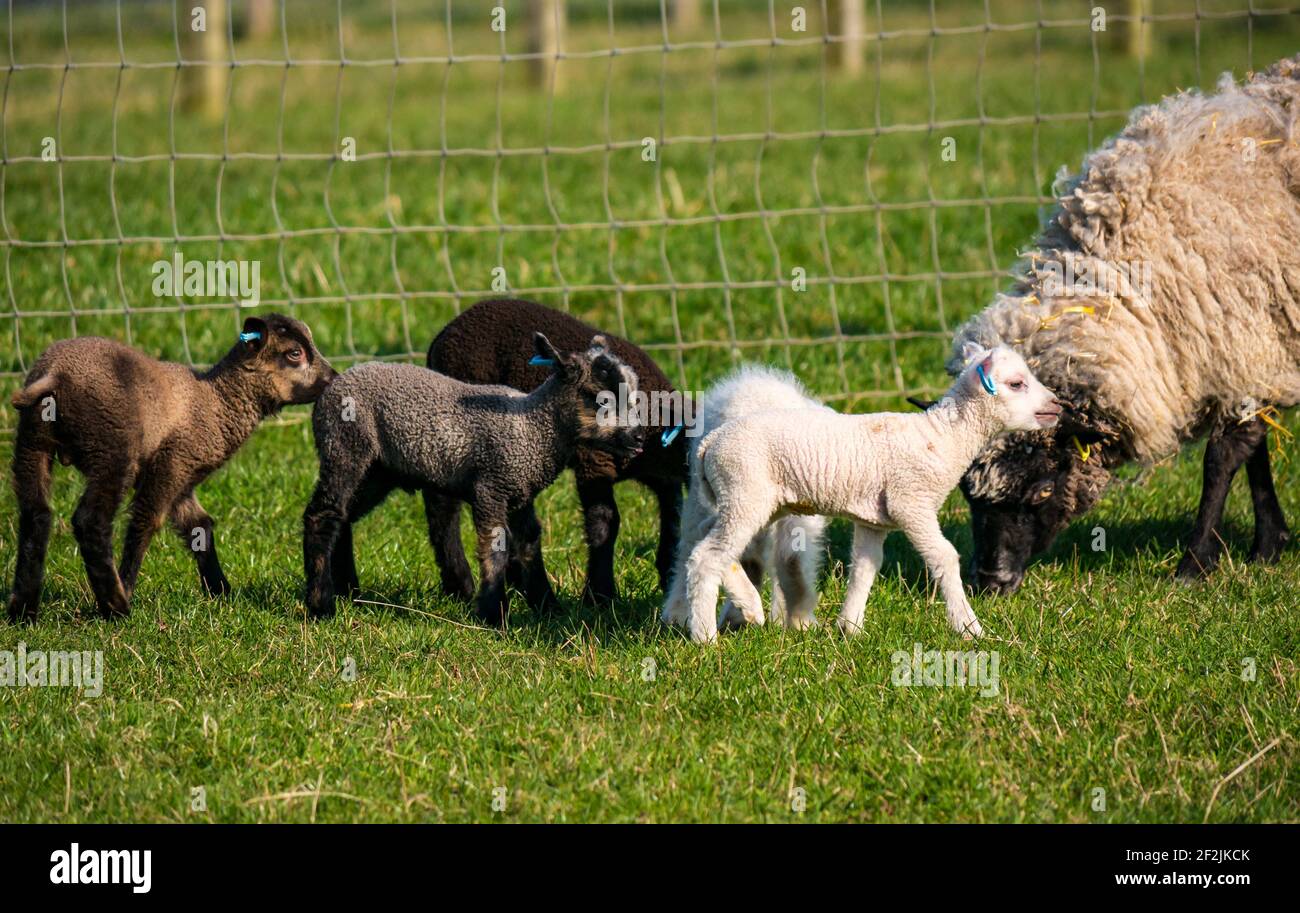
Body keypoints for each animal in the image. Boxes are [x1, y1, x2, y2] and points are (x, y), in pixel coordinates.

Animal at [305, 335, 650, 629]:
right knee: (322, 515)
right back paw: (321, 605)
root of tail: (335, 382)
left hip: (379, 471)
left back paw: (349, 591)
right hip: (346, 445)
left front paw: (547, 607)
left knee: (343, 516)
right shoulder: (490, 487)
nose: (639, 438)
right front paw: (493, 614)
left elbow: (529, 543)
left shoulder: (520, 492)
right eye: (602, 400)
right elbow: (496, 547)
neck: (533, 428)